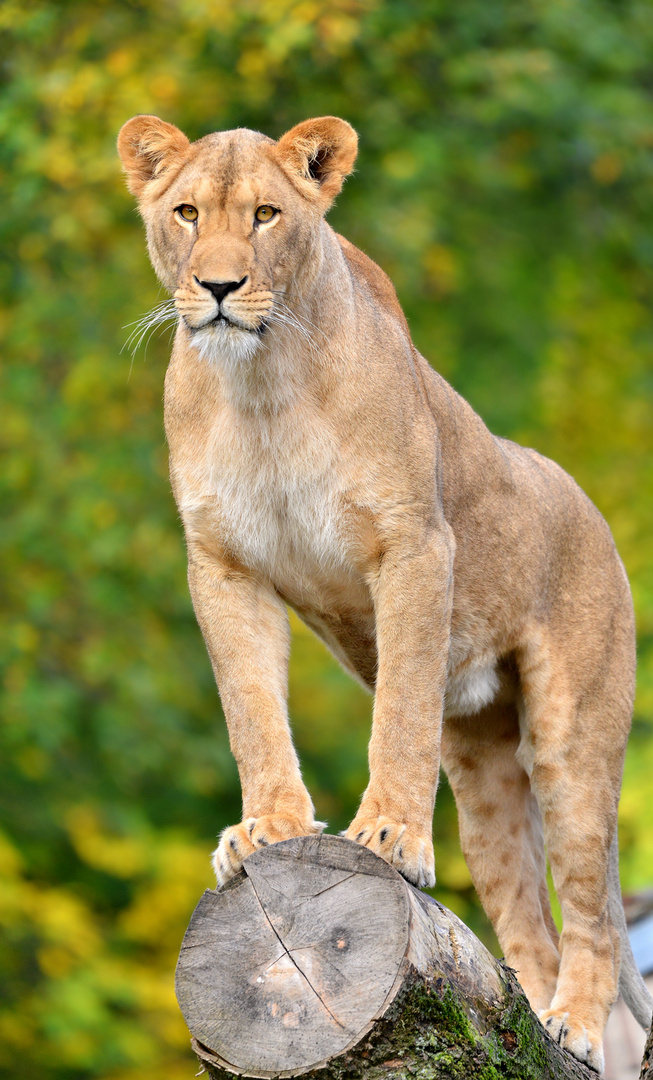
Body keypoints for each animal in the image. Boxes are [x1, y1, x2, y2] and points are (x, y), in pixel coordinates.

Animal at [118, 113, 651, 1067]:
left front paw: (390, 838)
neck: (261, 387)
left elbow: (399, 706)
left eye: (264, 215)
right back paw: (531, 1017)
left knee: (589, 914)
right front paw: (268, 830)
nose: (217, 287)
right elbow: (251, 710)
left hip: (573, 740)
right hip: (483, 774)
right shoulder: (223, 565)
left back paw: (575, 1028)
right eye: (185, 213)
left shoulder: (413, 545)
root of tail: (587, 505)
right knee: (529, 926)